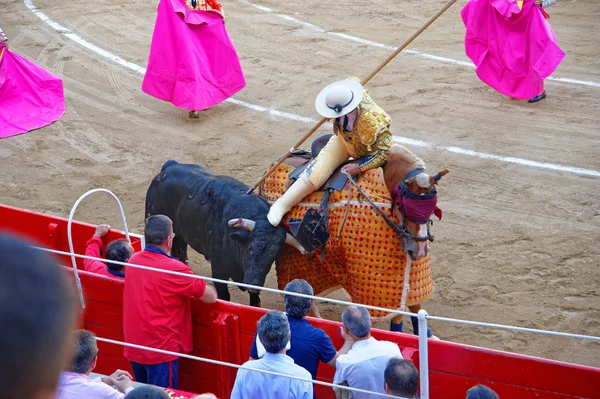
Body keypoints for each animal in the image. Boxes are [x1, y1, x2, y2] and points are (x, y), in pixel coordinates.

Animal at [144, 161, 304, 308]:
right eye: (250, 249)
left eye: (273, 256)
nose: (254, 284)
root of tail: (169, 166)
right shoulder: (218, 268)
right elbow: (224, 296)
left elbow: (255, 300)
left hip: (179, 235)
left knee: (180, 252)